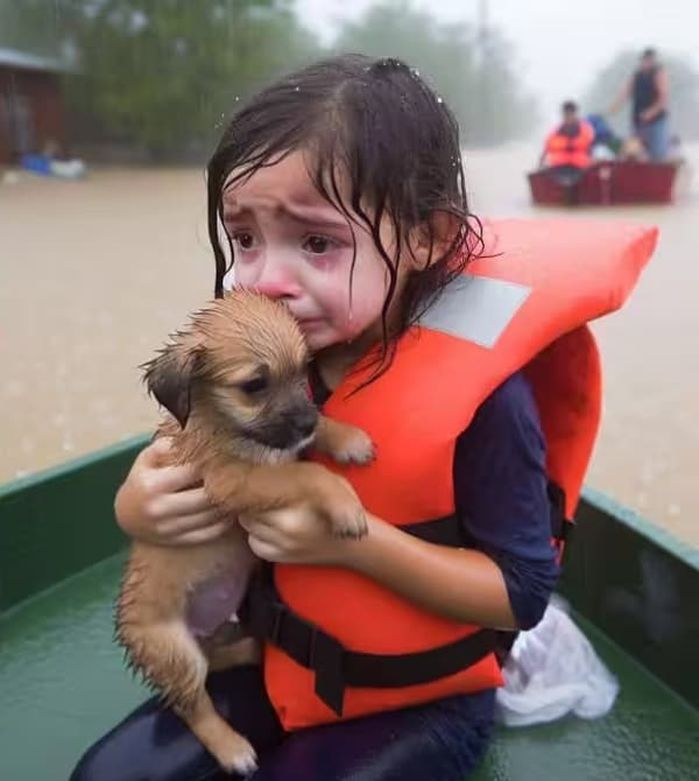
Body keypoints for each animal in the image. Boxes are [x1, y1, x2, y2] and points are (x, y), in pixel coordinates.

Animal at [117, 290, 374, 772]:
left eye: (303, 370)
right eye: (255, 385)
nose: (306, 424)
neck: (220, 423)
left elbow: (307, 442)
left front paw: (346, 437)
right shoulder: (233, 480)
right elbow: (306, 474)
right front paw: (345, 504)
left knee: (217, 659)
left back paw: (253, 648)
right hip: (175, 651)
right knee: (193, 704)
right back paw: (232, 748)